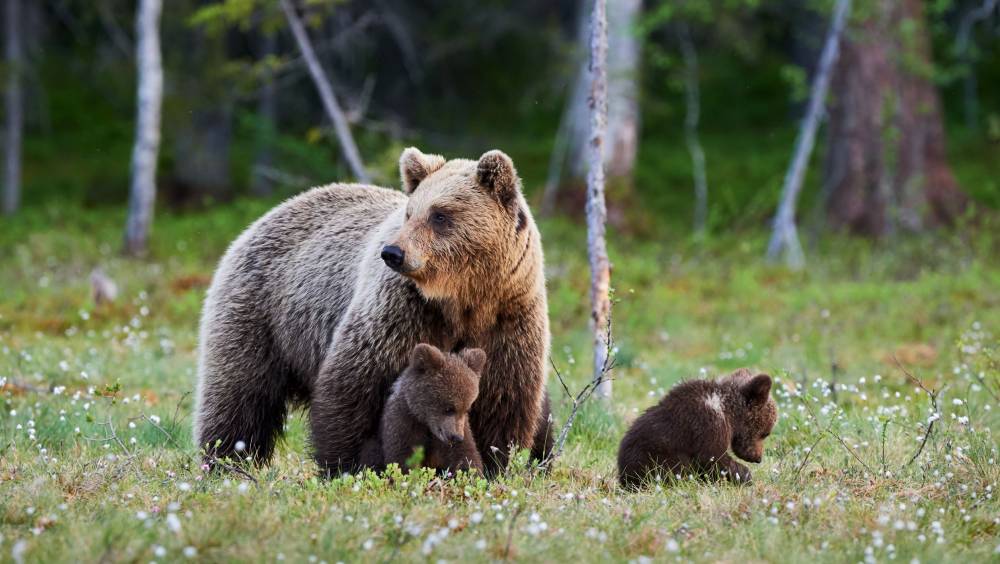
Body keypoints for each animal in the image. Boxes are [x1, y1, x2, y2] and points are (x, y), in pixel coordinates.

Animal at [193, 148, 556, 474]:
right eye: (410, 213)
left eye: (440, 214)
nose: (393, 252)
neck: (463, 299)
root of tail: (270, 213)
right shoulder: (403, 312)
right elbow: (355, 385)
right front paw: (349, 465)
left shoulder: (508, 319)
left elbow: (502, 398)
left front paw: (493, 462)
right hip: (262, 312)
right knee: (240, 394)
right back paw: (226, 459)